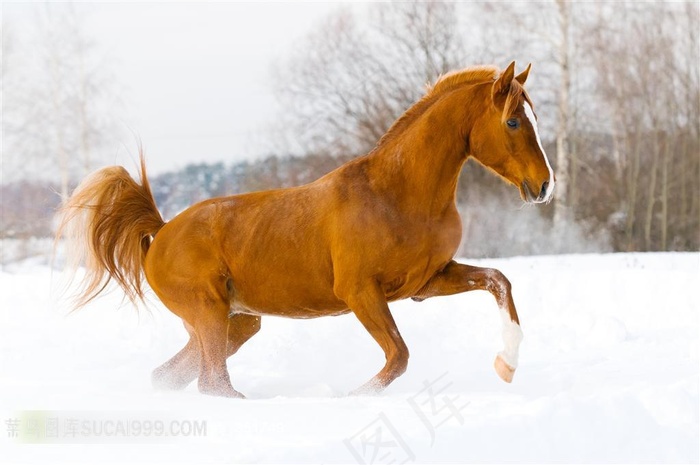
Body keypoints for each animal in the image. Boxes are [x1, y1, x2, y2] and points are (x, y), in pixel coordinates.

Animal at [57, 60, 556, 396]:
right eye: (513, 120)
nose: (545, 186)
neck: (397, 195)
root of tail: (159, 232)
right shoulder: (360, 292)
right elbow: (398, 357)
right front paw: (353, 398)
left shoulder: (425, 282)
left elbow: (499, 281)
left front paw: (507, 365)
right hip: (209, 313)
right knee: (212, 383)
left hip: (236, 322)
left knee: (173, 375)